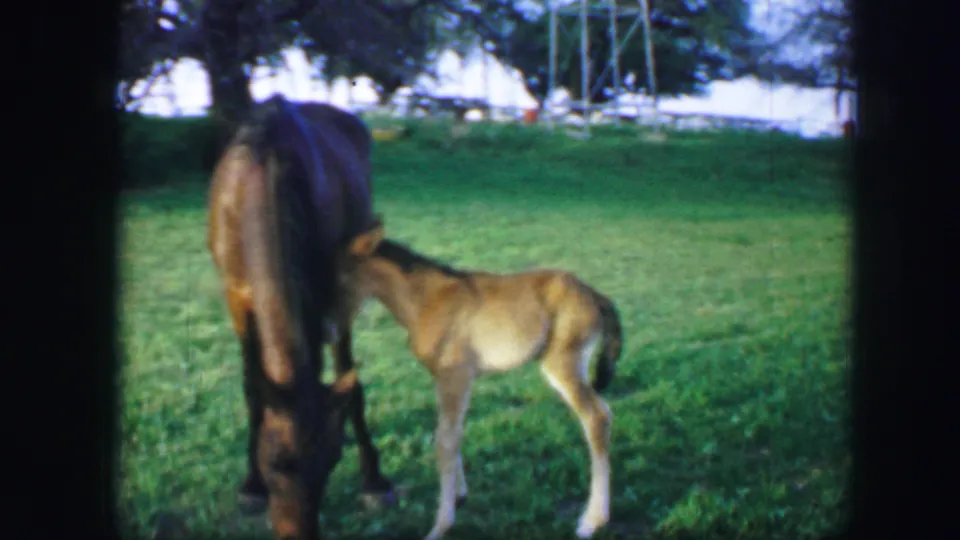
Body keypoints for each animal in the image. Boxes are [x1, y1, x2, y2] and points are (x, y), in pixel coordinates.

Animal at [207, 95, 394, 538]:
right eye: (273, 463)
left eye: (330, 463)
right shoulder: (237, 297)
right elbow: (253, 389)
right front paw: (251, 487)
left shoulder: (326, 293)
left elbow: (343, 382)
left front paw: (373, 480)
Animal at [340, 221, 624, 540]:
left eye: (337, 276)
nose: (329, 328)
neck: (426, 300)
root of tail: (596, 296)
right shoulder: (450, 379)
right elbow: (453, 433)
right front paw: (458, 496)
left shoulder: (455, 375)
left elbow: (444, 441)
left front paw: (440, 525)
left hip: (563, 365)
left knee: (597, 417)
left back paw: (592, 520)